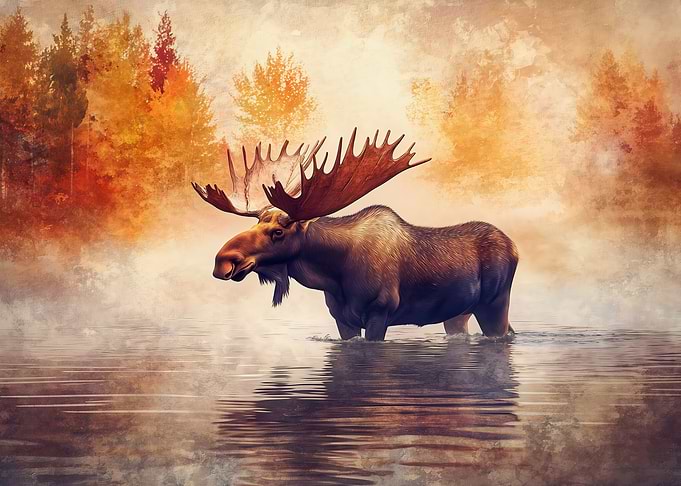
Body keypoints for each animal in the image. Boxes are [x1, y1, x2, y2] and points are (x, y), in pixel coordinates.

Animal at [192, 129, 518, 341]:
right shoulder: (341, 318)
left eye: (278, 231)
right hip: (457, 313)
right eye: (254, 224)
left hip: (494, 303)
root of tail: (514, 246)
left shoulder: (380, 311)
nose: (223, 261)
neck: (334, 274)